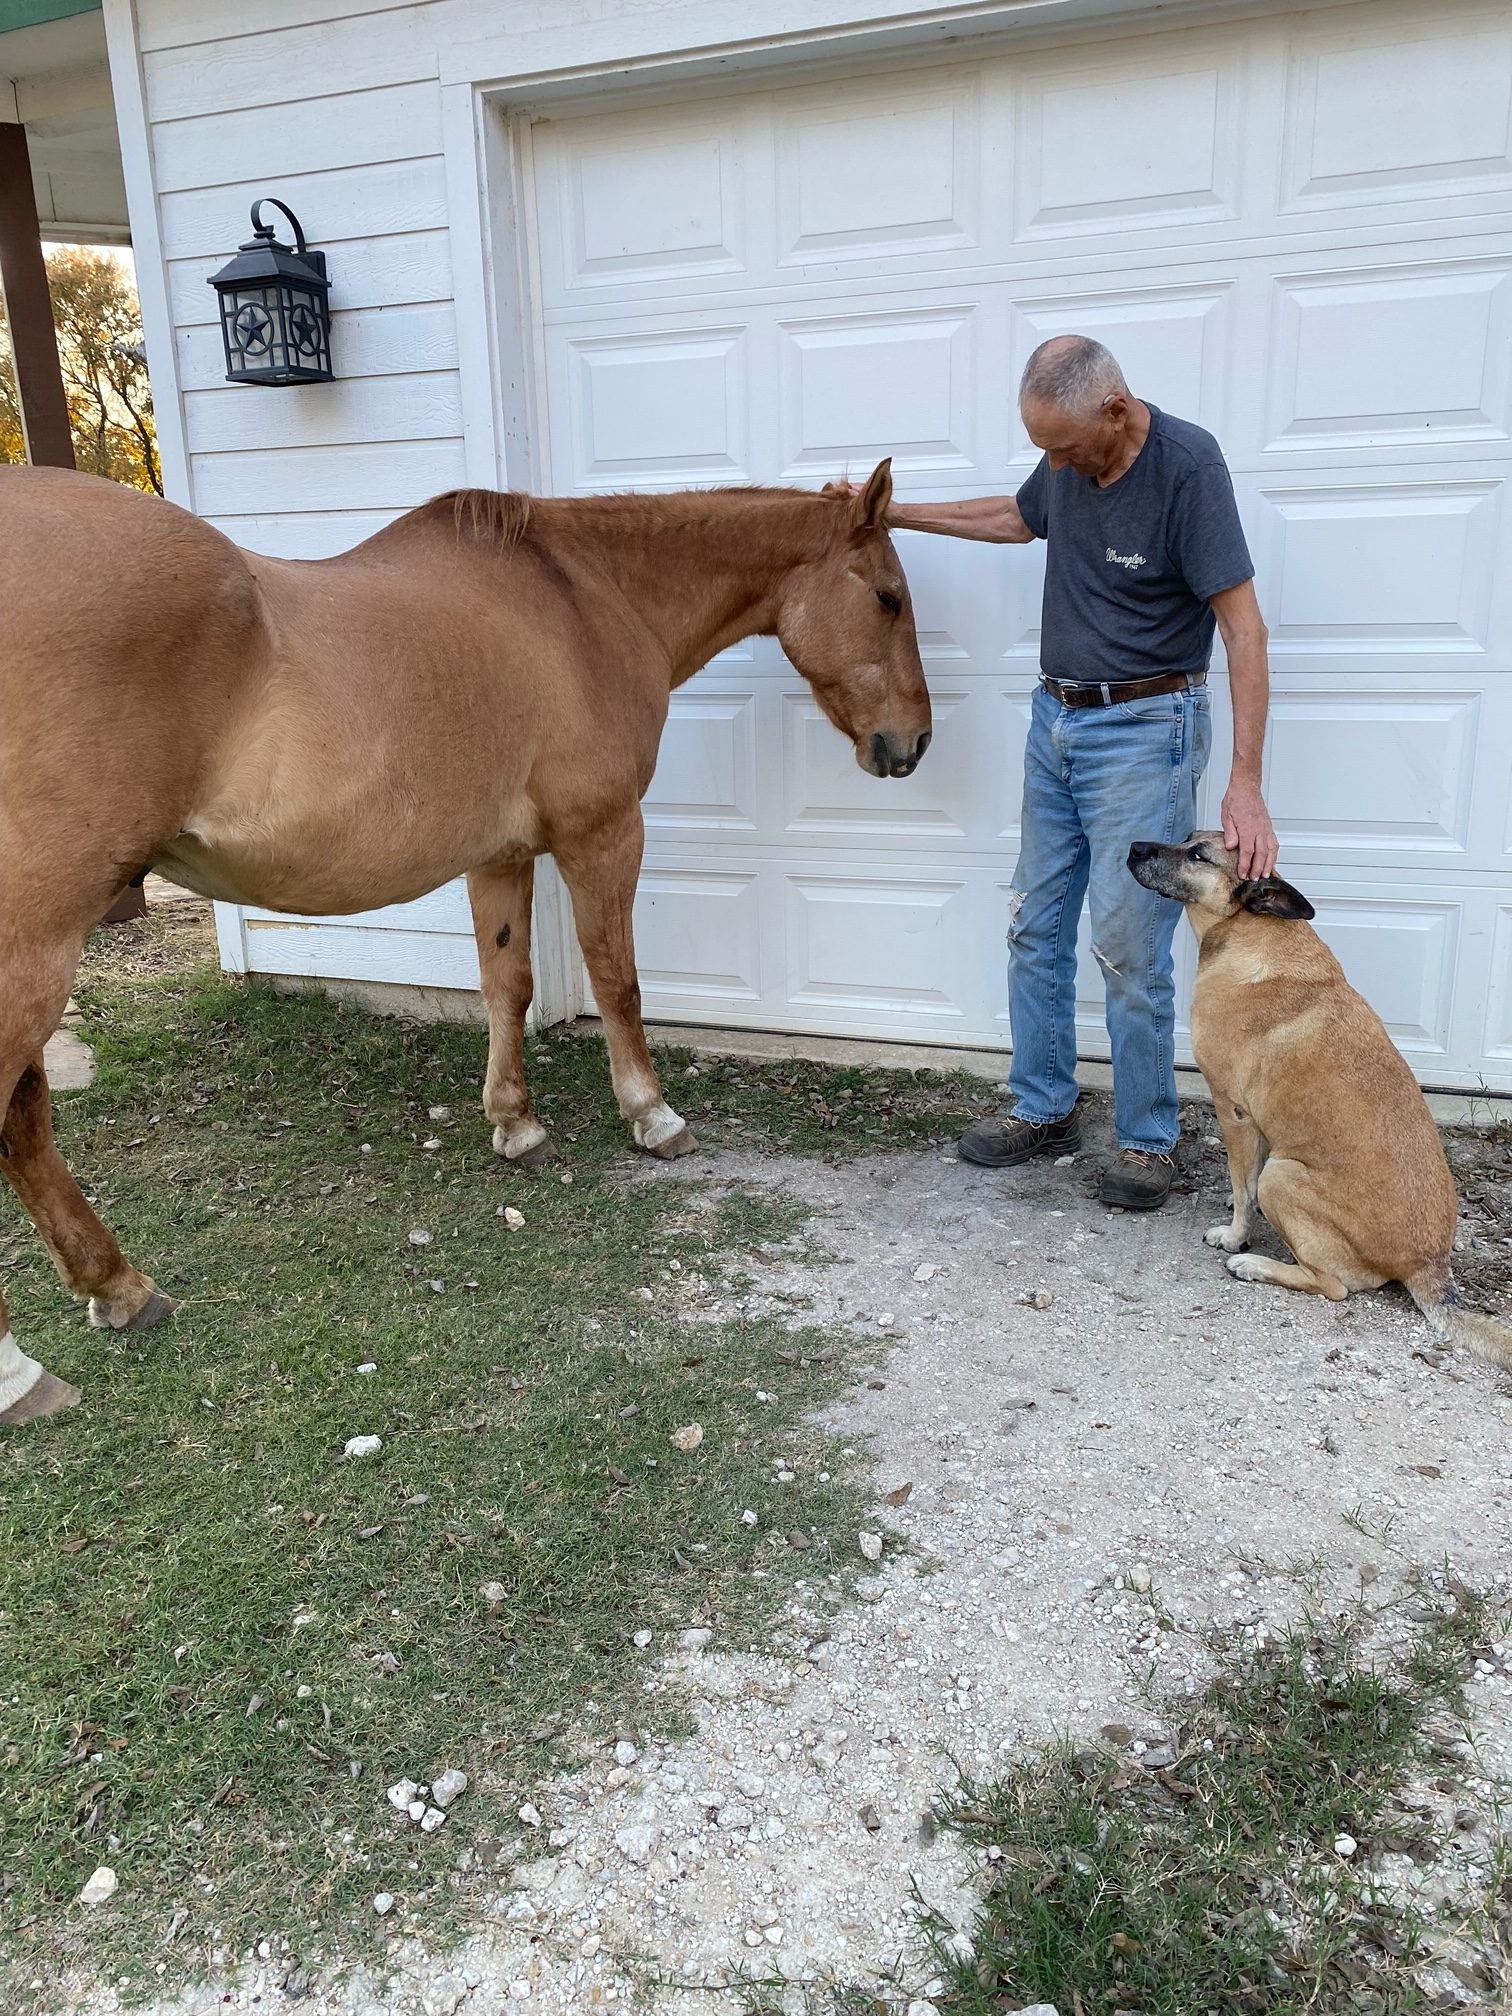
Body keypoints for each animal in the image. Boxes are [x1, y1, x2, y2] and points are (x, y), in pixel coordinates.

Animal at [0, 459, 930, 1426]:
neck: (582, 597)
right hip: (38, 941)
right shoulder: (602, 834)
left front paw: (516, 1124)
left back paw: (117, 1288)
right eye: (889, 597)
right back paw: (24, 1369)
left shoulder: (502, 855)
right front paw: (652, 1116)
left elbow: (506, 984)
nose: (911, 743)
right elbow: (618, 979)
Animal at [1126, 831, 1511, 1367]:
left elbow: (1245, 1184)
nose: (1134, 847)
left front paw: (1235, 1234)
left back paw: (1254, 1264)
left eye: (1199, 854)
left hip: (1284, 1176)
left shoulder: (1234, 1111)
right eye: (1185, 840)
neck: (1249, 931)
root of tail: (1428, 1264)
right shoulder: (1260, 1124)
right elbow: (1243, 1180)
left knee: (1332, 1286)